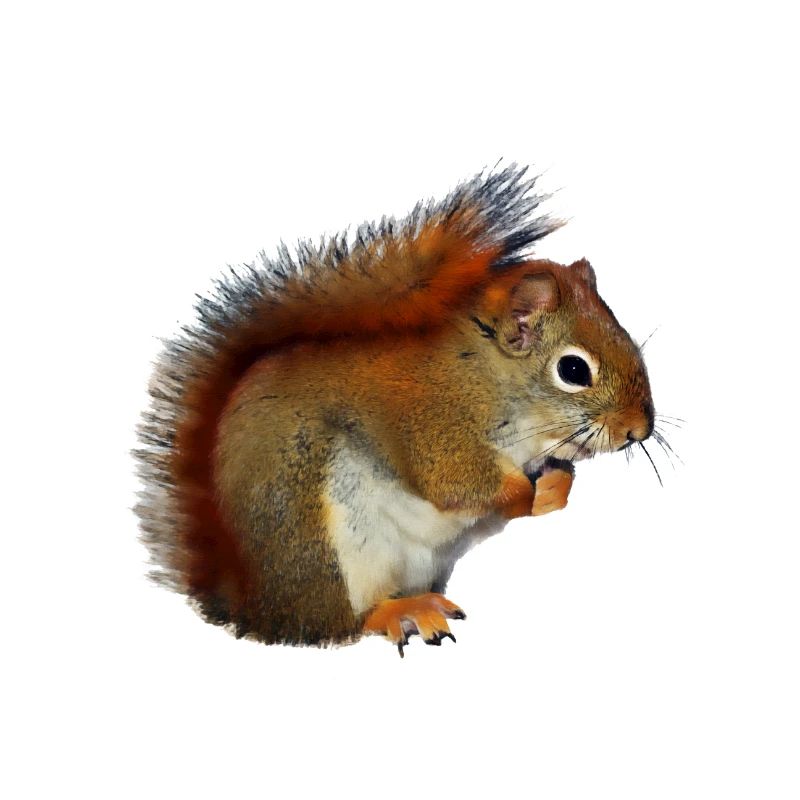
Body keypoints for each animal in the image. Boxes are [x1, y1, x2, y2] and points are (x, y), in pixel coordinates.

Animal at [134, 164, 654, 655]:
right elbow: (456, 483)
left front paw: (556, 489)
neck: (485, 376)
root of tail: (253, 607)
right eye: (573, 369)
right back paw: (400, 613)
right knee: (341, 623)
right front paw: (524, 494)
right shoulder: (432, 422)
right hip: (323, 544)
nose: (639, 431)